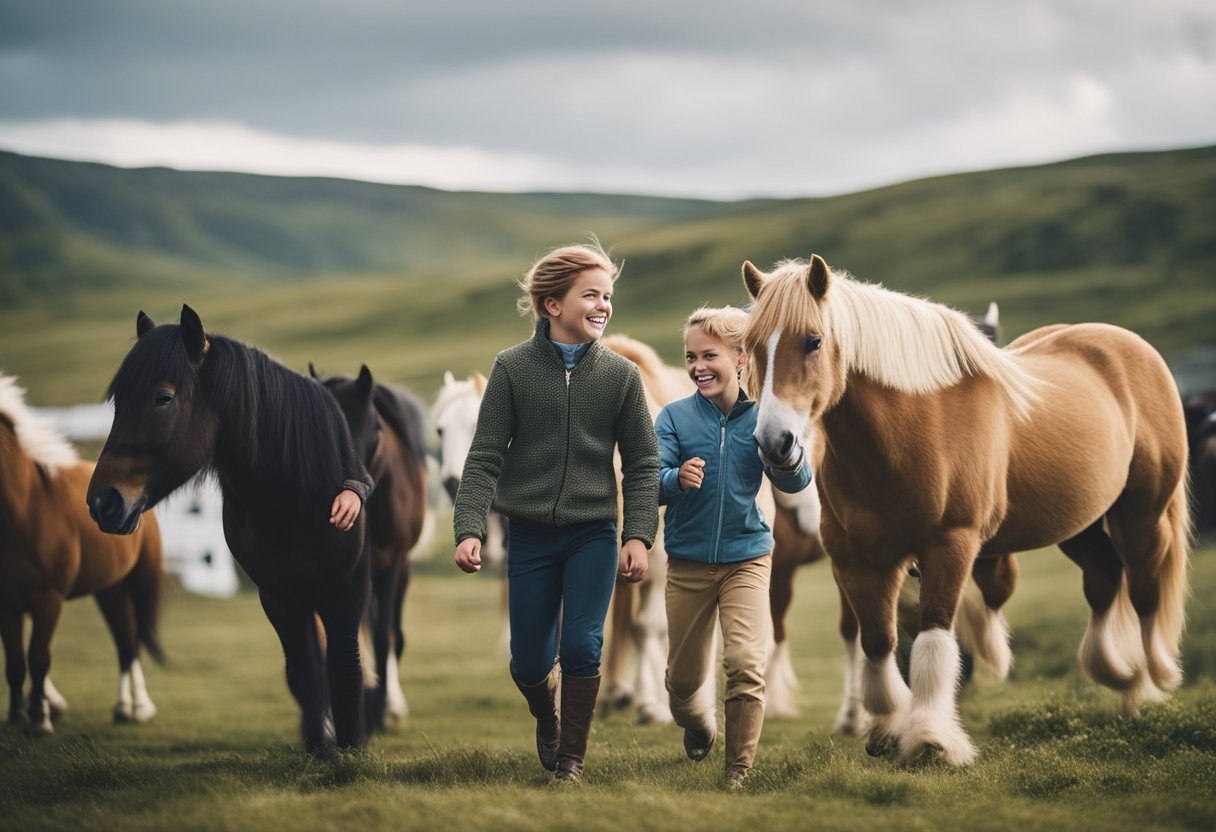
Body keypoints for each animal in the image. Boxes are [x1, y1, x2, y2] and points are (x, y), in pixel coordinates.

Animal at [1, 374, 165, 729]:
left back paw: (140, 707)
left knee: (131, 642)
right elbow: (16, 664)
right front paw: (19, 716)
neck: (23, 510)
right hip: (109, 589)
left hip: (135, 583)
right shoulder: (7, 605)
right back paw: (122, 707)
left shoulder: (48, 601)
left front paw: (39, 720)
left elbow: (38, 659)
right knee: (124, 641)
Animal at [88, 305, 372, 754]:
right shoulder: (278, 595)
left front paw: (349, 752)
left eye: (163, 397)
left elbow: (345, 665)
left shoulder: (345, 588)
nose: (103, 502)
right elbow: (304, 672)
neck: (291, 500)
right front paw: (319, 750)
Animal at [739, 255, 1186, 768]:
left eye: (813, 341)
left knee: (1145, 591)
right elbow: (878, 642)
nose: (775, 443)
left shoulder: (950, 545)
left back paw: (1148, 681)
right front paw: (886, 727)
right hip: (1080, 524)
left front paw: (930, 739)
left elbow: (933, 639)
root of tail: (1130, 345)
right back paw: (1119, 679)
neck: (909, 432)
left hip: (1141, 514)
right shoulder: (858, 558)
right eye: (751, 346)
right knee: (1104, 578)